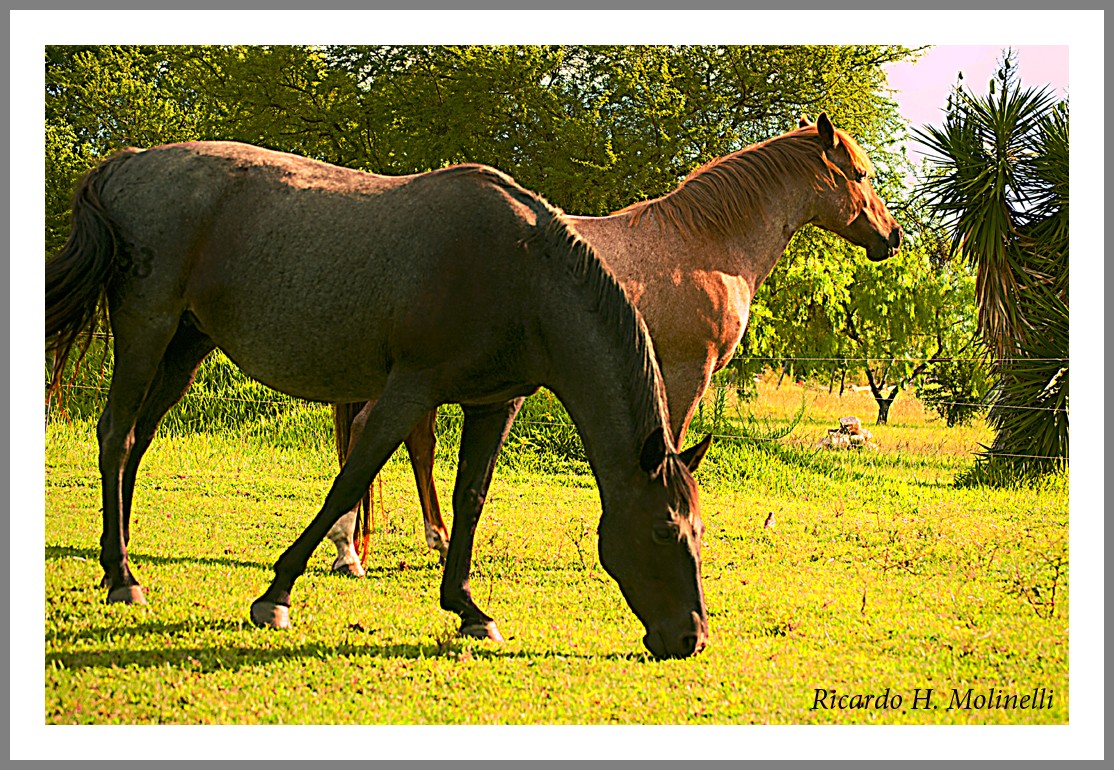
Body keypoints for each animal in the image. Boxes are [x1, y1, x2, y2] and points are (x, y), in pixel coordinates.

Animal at [47, 141, 708, 659]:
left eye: (700, 532)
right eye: (661, 532)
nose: (690, 638)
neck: (524, 274)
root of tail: (128, 162)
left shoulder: (494, 404)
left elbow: (469, 500)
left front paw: (467, 608)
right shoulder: (409, 390)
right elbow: (351, 480)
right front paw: (276, 595)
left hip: (184, 347)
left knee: (137, 441)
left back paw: (115, 562)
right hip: (146, 329)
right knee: (116, 435)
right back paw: (123, 576)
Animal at [325, 115, 900, 570]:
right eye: (861, 175)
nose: (892, 236)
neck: (705, 247)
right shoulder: (686, 371)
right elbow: (673, 443)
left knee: (413, 440)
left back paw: (430, 542)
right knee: (371, 430)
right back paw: (351, 549)